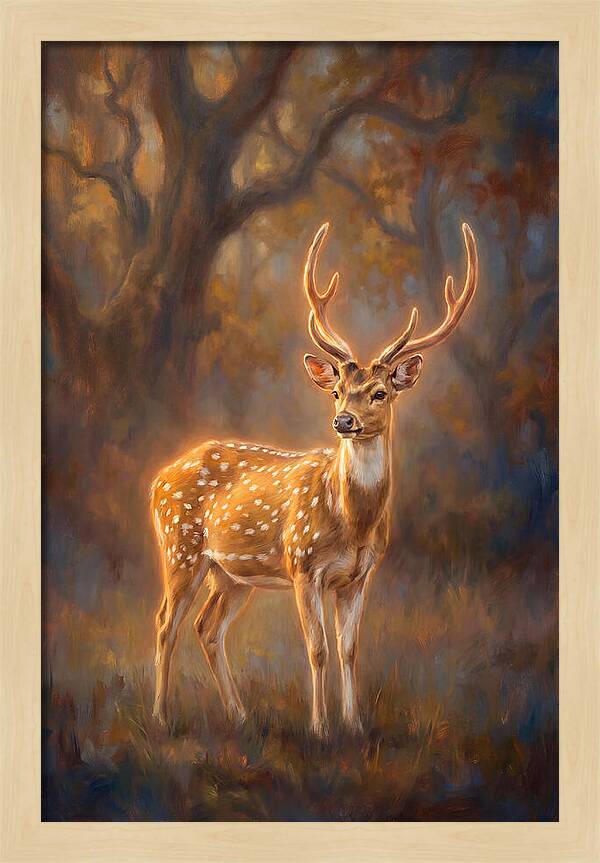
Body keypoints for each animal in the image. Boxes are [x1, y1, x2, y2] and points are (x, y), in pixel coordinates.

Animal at [150, 221, 479, 735]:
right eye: (338, 391)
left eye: (380, 392)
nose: (344, 421)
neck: (353, 523)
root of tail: (157, 479)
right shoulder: (303, 566)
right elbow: (318, 649)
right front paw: (320, 729)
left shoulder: (359, 577)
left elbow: (349, 649)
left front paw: (355, 724)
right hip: (179, 546)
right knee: (166, 623)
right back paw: (162, 717)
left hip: (231, 574)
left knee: (207, 627)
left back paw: (239, 715)